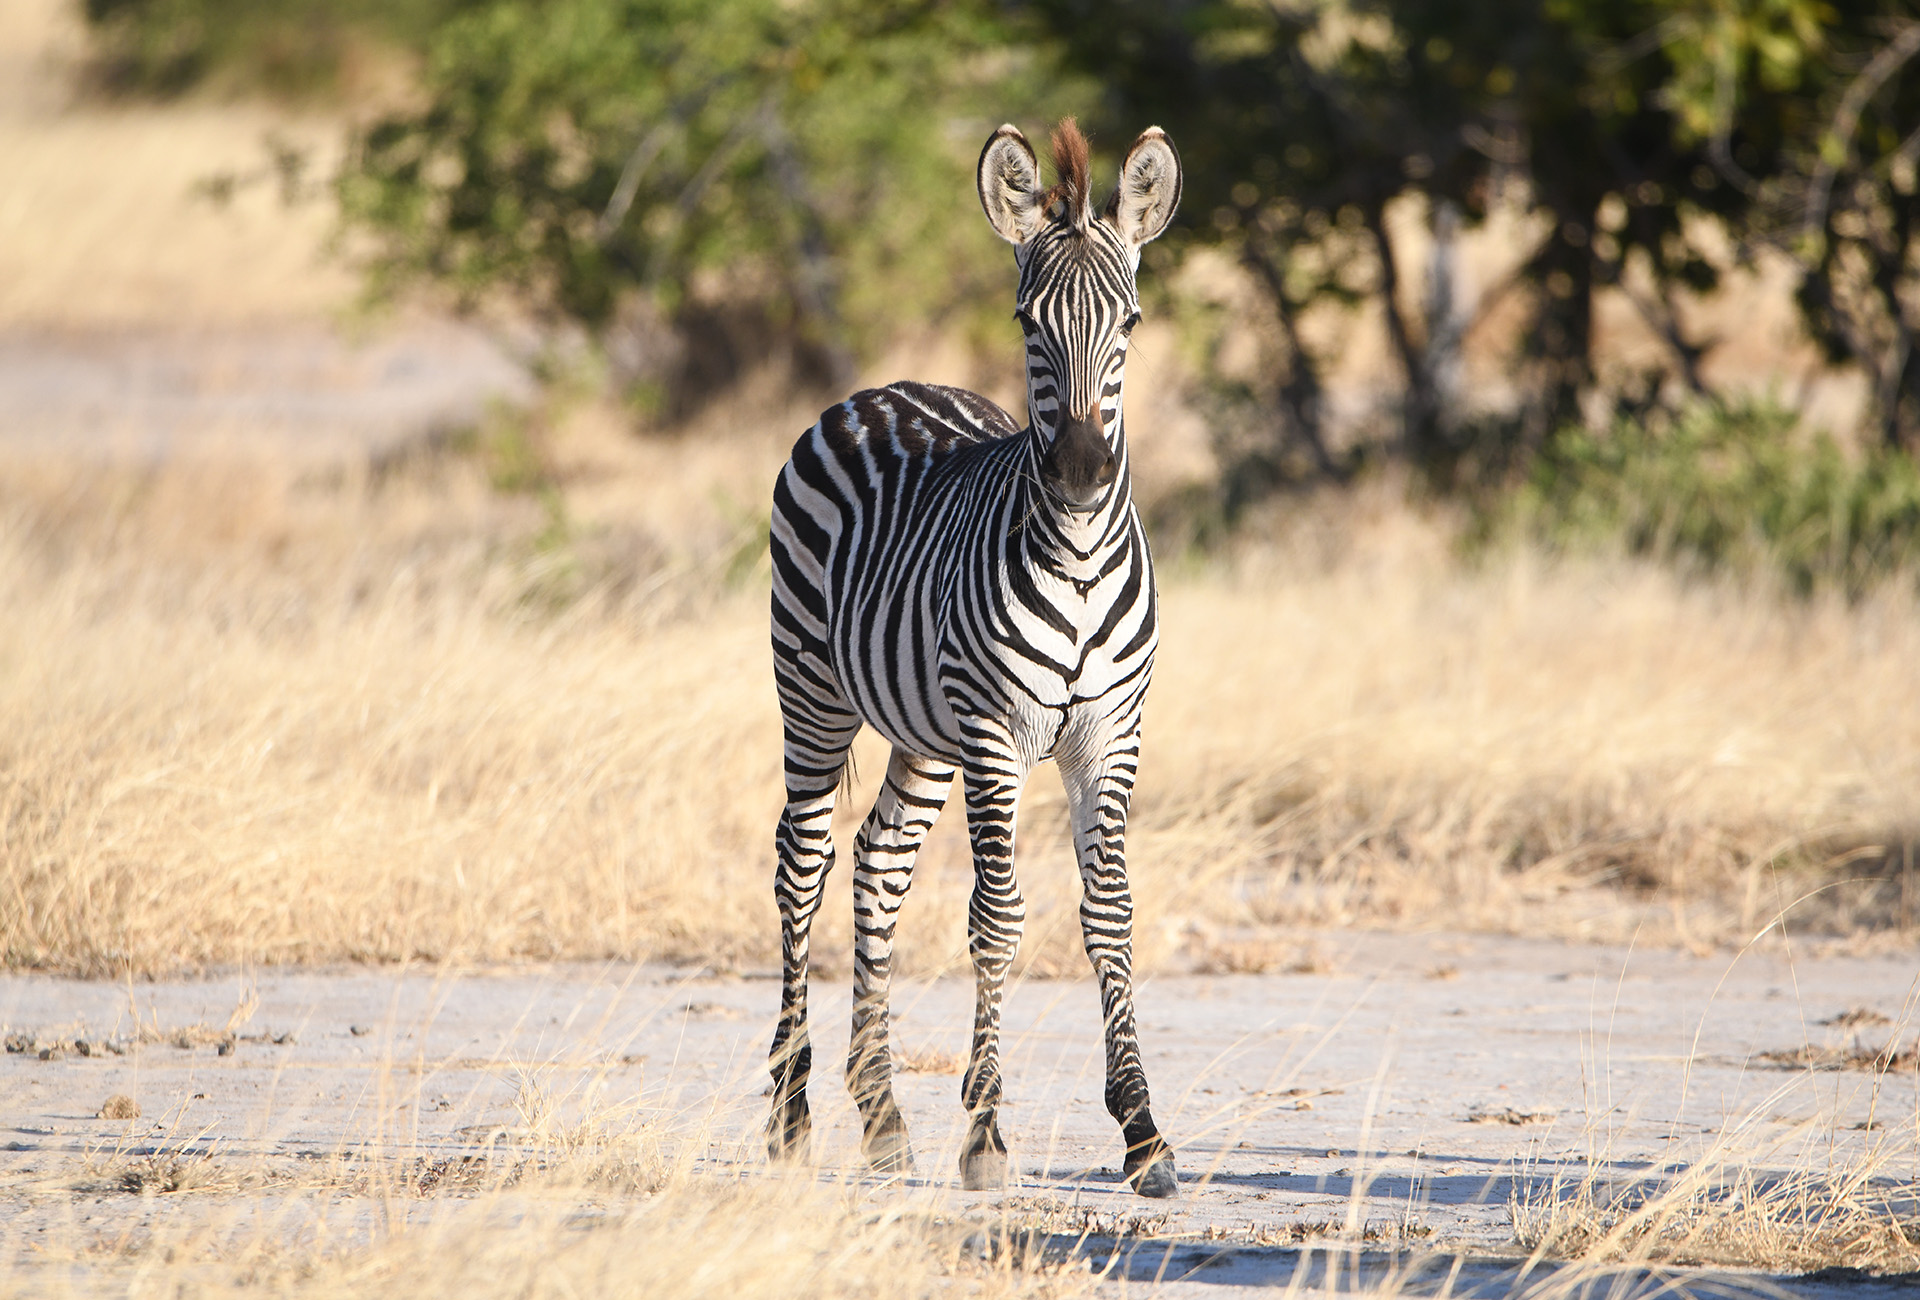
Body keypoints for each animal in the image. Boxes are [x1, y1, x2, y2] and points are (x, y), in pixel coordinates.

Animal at [765, 118, 1182, 1199]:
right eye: (1027, 323)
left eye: (1131, 324)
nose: (1080, 474)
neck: (1076, 561)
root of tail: (880, 389)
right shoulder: (997, 734)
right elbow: (997, 918)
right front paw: (987, 1132)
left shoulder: (1110, 735)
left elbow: (1110, 912)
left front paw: (1144, 1132)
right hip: (811, 689)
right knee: (803, 860)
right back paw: (789, 1113)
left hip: (920, 728)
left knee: (878, 860)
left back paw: (881, 1116)